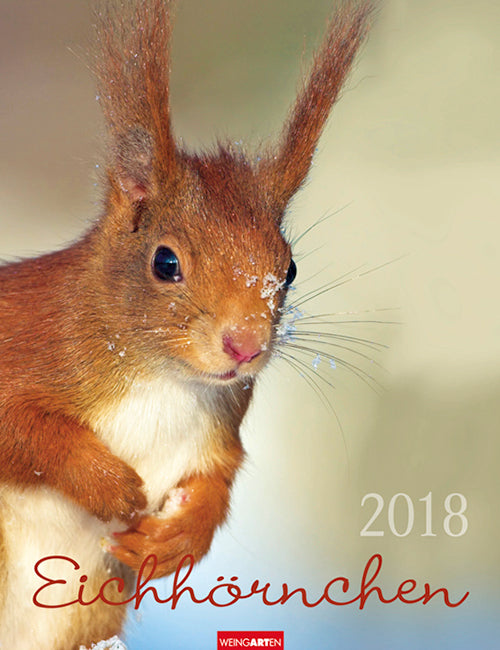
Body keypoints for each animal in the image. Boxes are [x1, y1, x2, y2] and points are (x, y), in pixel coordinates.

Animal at [0, 1, 373, 648]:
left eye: (289, 267)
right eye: (165, 262)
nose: (245, 346)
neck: (161, 377)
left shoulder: (220, 427)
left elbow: (216, 485)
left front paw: (174, 538)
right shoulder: (26, 338)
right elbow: (21, 426)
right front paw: (111, 485)